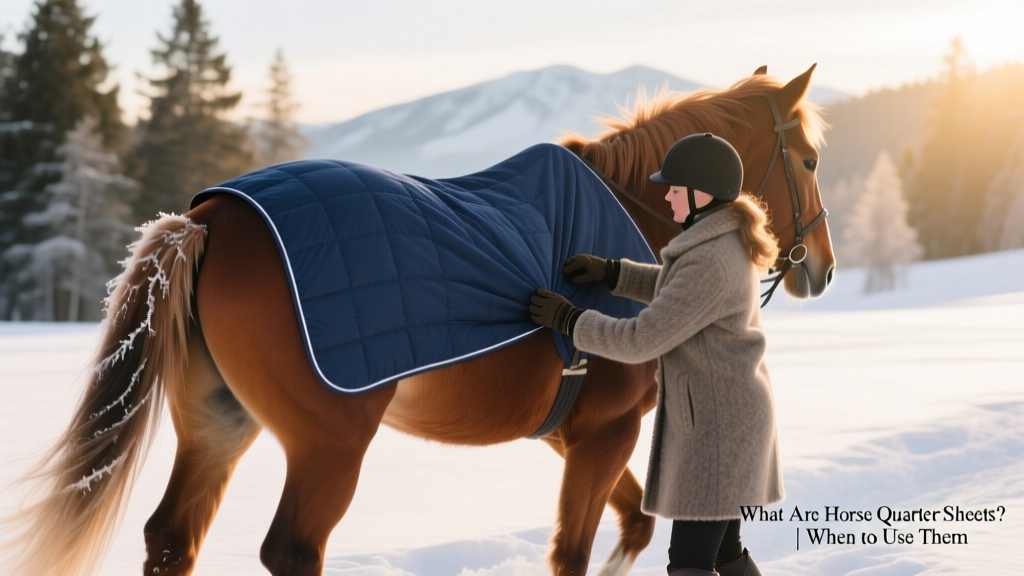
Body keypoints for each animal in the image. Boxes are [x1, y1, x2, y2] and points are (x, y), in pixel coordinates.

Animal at [4, 64, 833, 576]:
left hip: (218, 422)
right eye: (812, 160)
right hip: (328, 445)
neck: (635, 220)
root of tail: (210, 217)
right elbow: (574, 550)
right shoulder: (605, 434)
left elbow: (630, 525)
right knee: (292, 550)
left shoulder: (575, 437)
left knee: (172, 539)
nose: (820, 267)